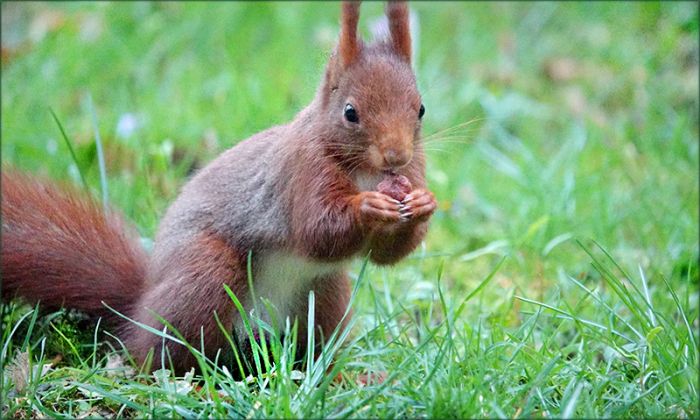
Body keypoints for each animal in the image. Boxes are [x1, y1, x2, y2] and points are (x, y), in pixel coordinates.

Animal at [1, 0, 436, 375]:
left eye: (420, 108)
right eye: (350, 113)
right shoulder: (300, 172)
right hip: (207, 274)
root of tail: (140, 305)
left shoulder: (414, 168)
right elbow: (317, 229)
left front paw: (423, 203)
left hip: (323, 295)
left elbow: (388, 254)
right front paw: (369, 207)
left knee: (310, 346)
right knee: (156, 352)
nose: (396, 156)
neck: (365, 172)